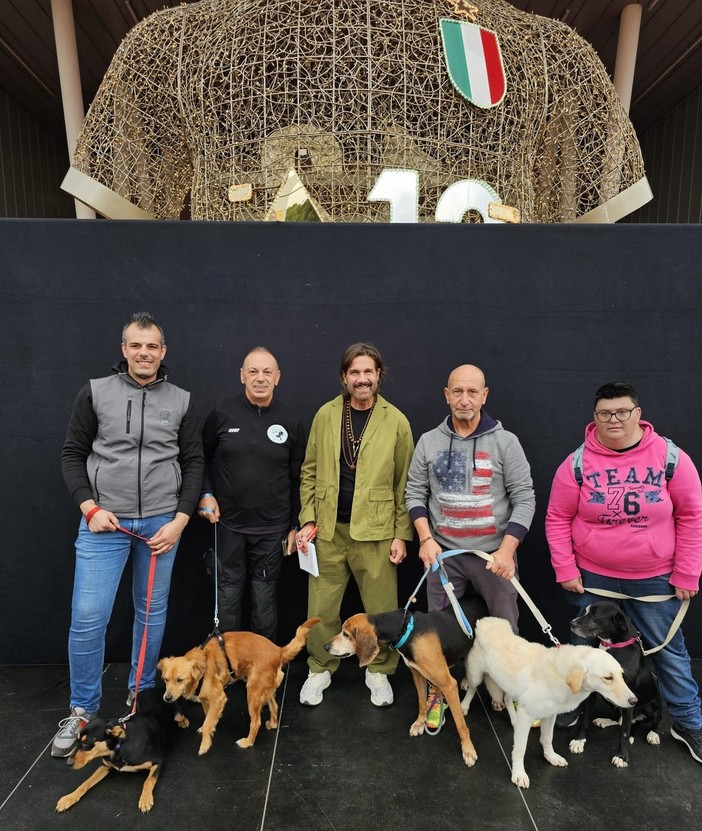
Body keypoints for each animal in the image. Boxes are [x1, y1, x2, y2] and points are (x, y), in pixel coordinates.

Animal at [56, 684, 190, 816]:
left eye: (86, 742)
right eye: (77, 740)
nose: (68, 764)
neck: (118, 748)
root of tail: (157, 687)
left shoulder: (158, 761)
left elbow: (148, 780)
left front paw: (145, 799)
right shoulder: (106, 765)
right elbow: (86, 782)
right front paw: (68, 798)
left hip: (175, 711)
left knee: (179, 716)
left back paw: (183, 721)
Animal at [159, 616, 320, 752]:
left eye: (180, 680)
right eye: (166, 679)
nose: (167, 698)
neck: (202, 665)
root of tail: (279, 651)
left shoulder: (219, 698)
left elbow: (207, 723)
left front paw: (205, 744)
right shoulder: (206, 699)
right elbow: (207, 717)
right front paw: (210, 728)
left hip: (252, 692)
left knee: (256, 722)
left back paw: (248, 742)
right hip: (263, 689)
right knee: (274, 706)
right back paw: (273, 724)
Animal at [462, 620, 640, 788]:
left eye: (622, 675)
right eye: (608, 678)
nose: (634, 701)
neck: (560, 675)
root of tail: (486, 620)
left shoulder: (550, 715)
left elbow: (547, 738)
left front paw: (551, 757)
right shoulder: (527, 715)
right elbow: (520, 748)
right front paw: (518, 774)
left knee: (506, 699)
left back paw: (514, 720)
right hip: (476, 675)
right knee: (472, 688)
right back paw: (464, 706)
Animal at [568, 600, 664, 768]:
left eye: (594, 615)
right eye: (586, 611)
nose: (571, 623)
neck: (611, 647)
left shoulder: (630, 698)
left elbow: (624, 734)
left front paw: (621, 756)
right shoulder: (591, 692)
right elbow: (585, 719)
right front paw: (579, 741)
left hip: (653, 705)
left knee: (656, 719)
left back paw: (653, 733)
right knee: (620, 720)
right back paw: (605, 721)